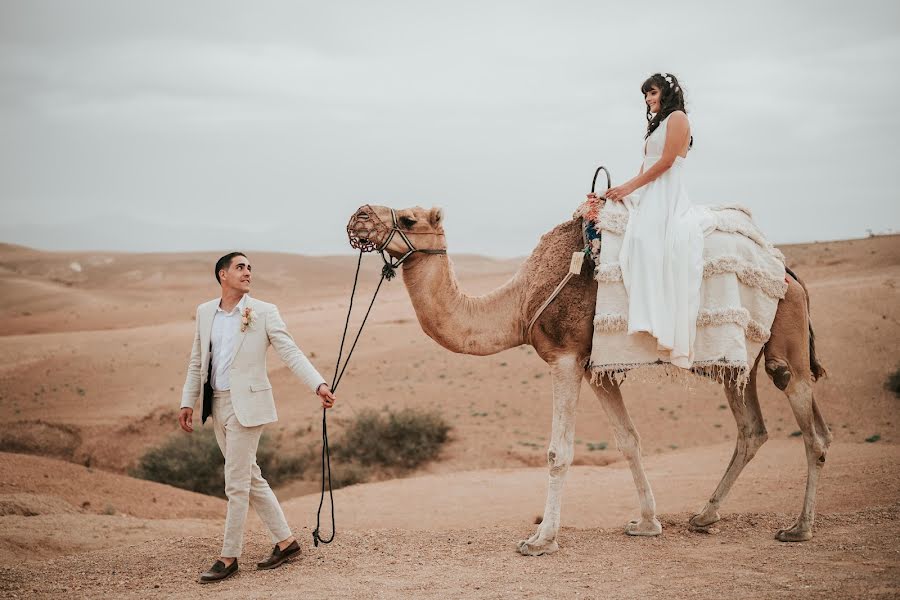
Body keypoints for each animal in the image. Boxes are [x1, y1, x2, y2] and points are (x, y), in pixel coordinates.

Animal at [348, 204, 832, 556]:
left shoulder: (565, 358)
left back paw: (799, 528)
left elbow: (558, 452)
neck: (520, 304)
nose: (359, 215)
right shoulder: (596, 368)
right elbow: (628, 439)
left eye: (407, 219)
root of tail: (790, 274)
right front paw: (647, 523)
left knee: (812, 433)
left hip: (784, 350)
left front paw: (541, 540)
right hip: (737, 360)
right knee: (755, 428)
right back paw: (705, 516)